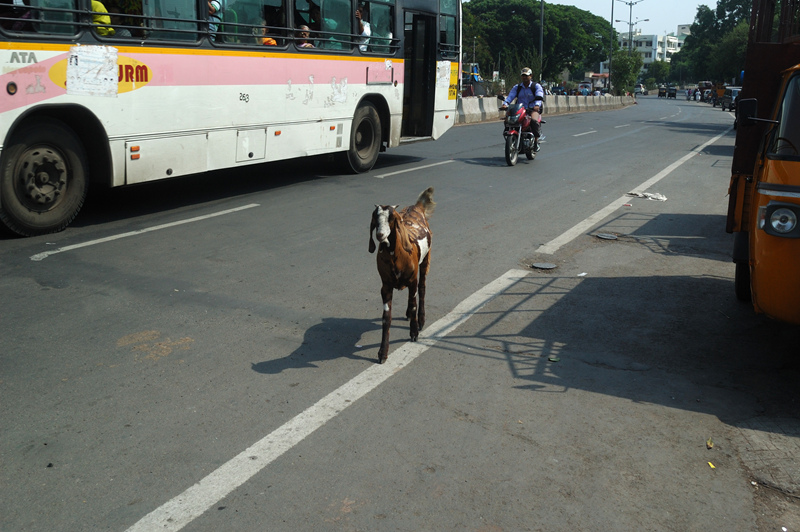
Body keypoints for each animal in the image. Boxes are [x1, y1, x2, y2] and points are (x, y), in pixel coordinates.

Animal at [370, 185, 438, 364]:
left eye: (391, 218)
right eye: (375, 218)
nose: (380, 235)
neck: (396, 256)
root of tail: (417, 207)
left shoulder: (413, 279)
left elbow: (414, 303)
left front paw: (414, 333)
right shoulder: (385, 286)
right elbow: (386, 318)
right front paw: (382, 353)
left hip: (426, 260)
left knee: (422, 288)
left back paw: (420, 319)